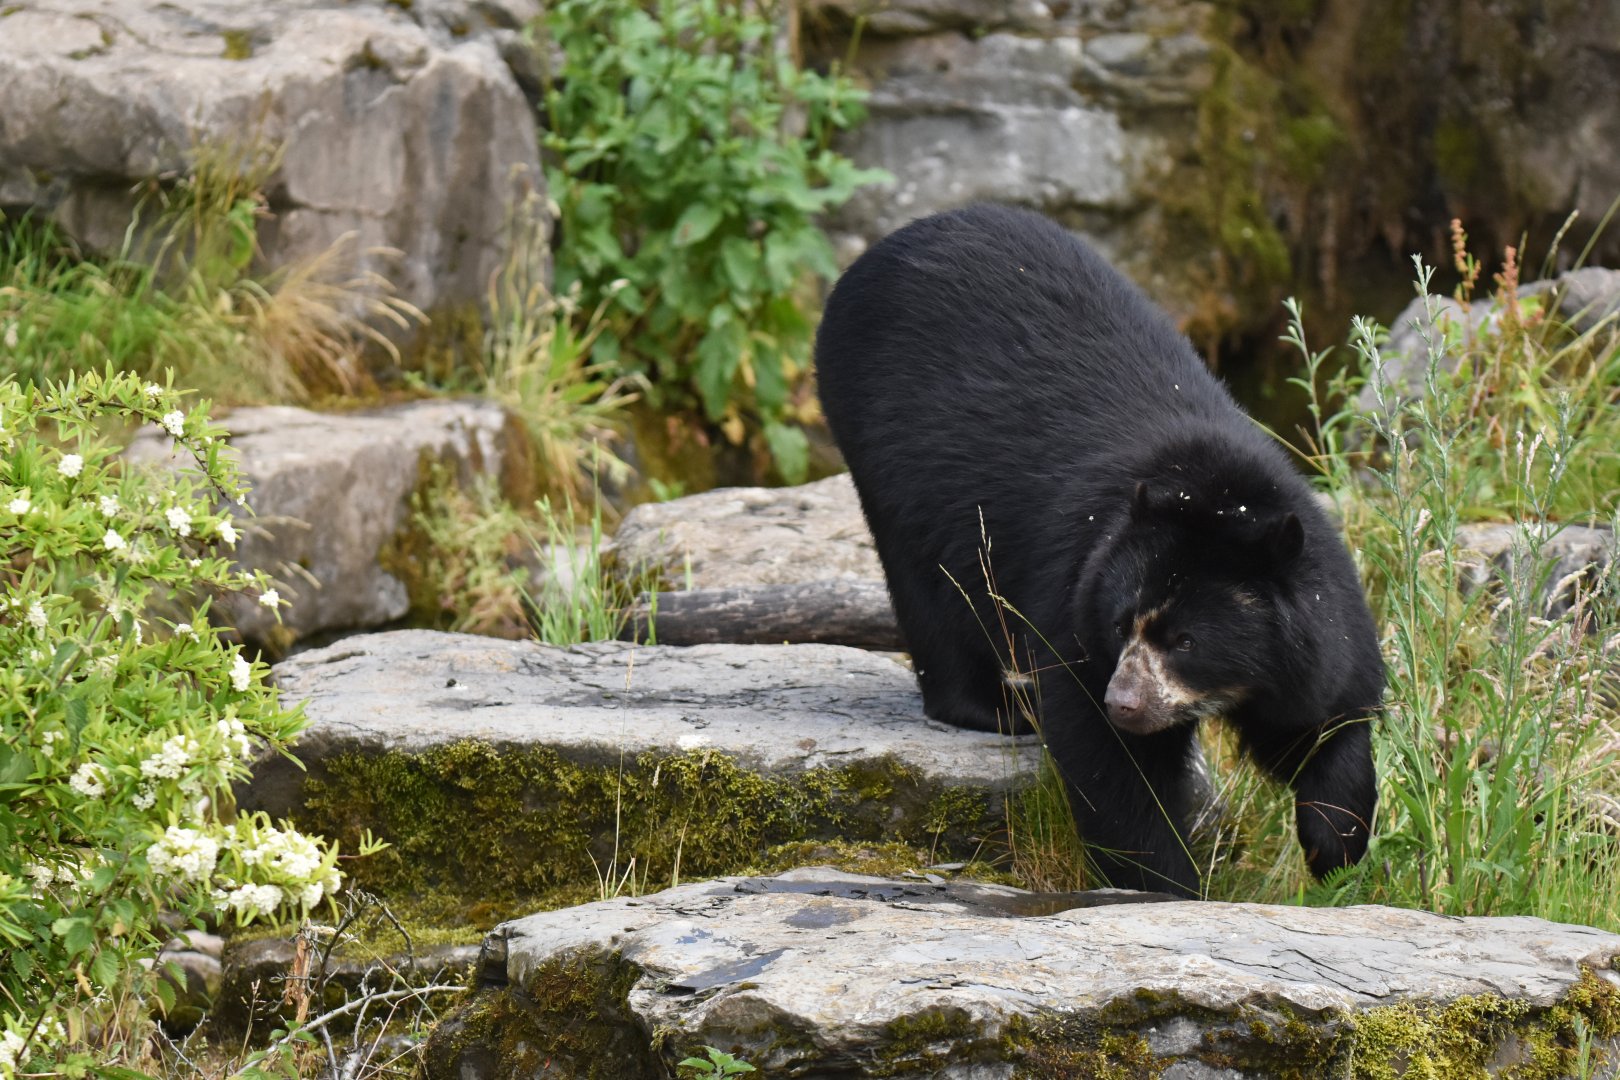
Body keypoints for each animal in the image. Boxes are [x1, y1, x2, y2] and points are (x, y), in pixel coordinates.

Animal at [814, 204, 1384, 898]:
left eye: (1187, 640)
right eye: (1119, 626)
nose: (1126, 704)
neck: (1211, 485)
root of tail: (881, 251)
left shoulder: (1313, 627)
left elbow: (1325, 719)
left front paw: (1334, 850)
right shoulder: (1074, 585)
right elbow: (1107, 761)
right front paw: (1166, 883)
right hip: (886, 457)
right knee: (932, 590)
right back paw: (1000, 708)